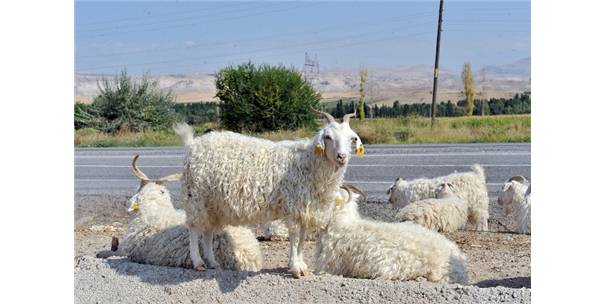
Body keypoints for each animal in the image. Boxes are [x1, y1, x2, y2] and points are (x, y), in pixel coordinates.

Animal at [176, 109, 366, 278]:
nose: (341, 156)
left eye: (352, 138)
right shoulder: (293, 207)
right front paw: (296, 268)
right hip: (196, 196)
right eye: (328, 137)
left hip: (213, 204)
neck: (308, 163)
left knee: (208, 231)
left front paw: (302, 265)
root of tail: (192, 144)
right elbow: (295, 238)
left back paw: (212, 263)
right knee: (194, 229)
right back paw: (198, 262)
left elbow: (302, 239)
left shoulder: (304, 210)